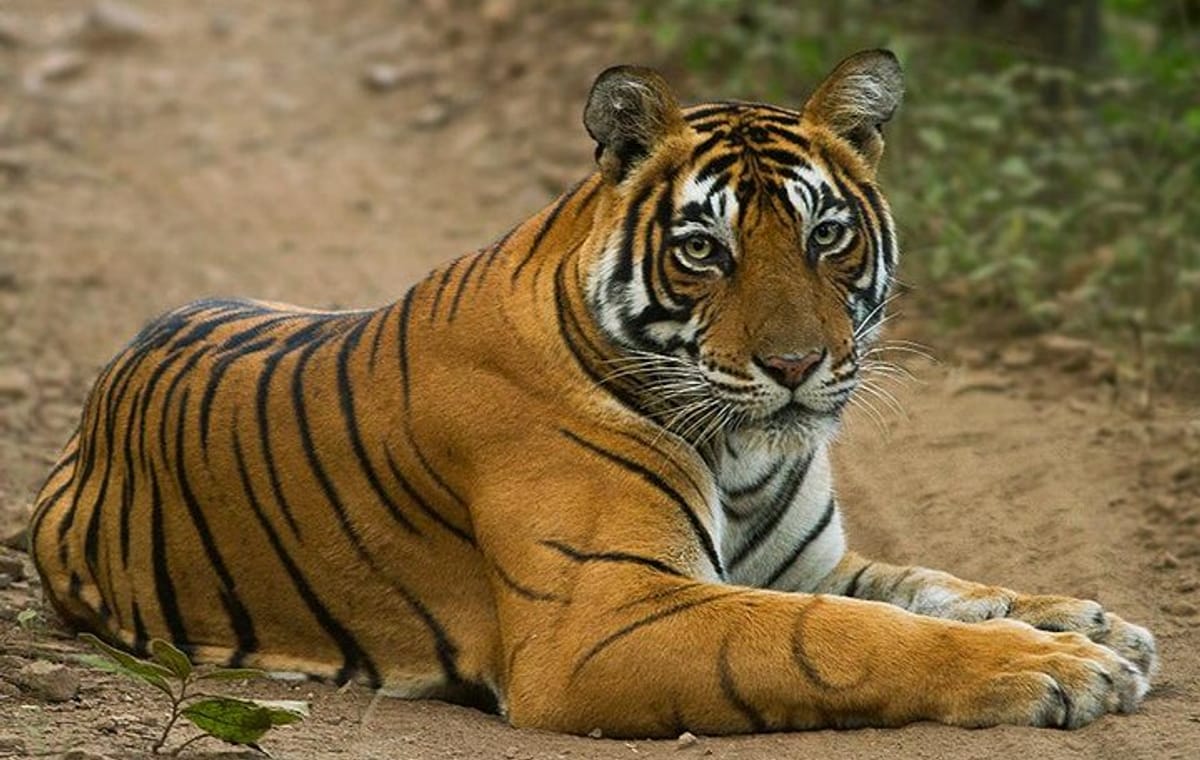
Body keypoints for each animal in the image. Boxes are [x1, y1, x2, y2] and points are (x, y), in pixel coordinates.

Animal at [28, 50, 1156, 736]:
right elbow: (840, 636)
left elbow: (932, 583)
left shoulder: (806, 563)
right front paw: (1057, 666)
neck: (745, 455)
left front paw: (1093, 622)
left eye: (826, 235)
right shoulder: (603, 618)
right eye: (704, 251)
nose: (797, 366)